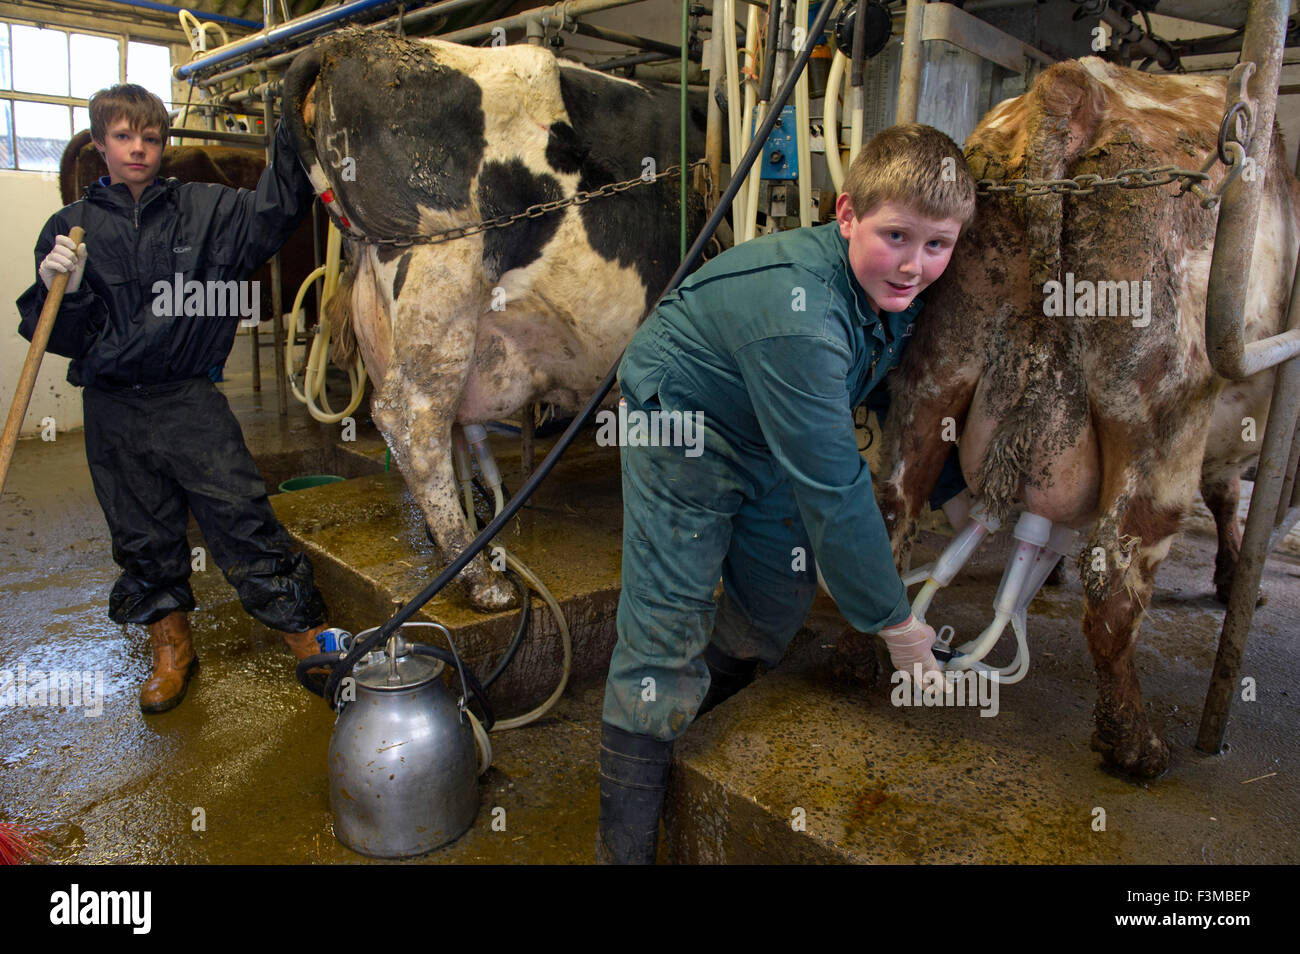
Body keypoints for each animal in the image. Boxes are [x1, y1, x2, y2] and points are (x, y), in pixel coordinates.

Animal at [878, 55, 1294, 779]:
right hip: (1158, 413)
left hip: (938, 366)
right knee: (1114, 580)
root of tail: (1071, 87)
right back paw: (1134, 744)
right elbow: (1227, 496)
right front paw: (1236, 579)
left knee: (897, 504)